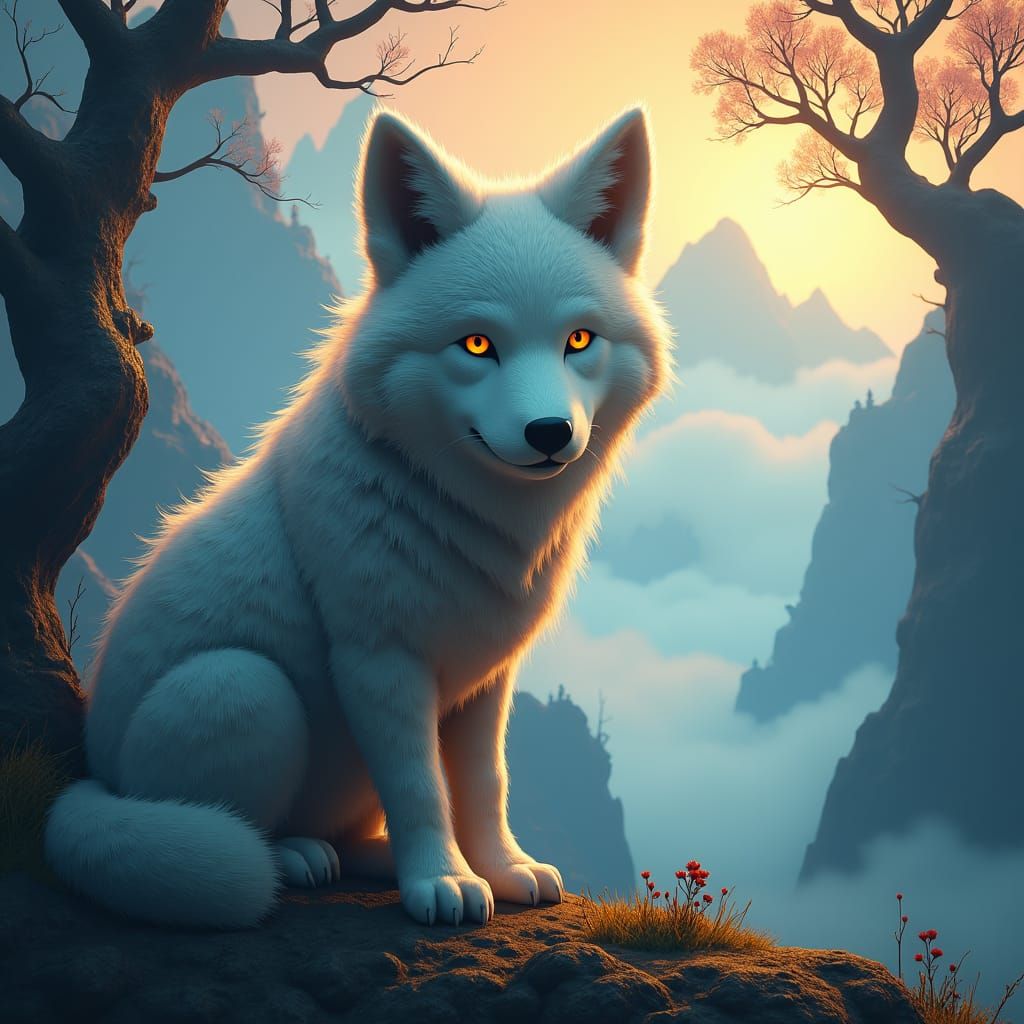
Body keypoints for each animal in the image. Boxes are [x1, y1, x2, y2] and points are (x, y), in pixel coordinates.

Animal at [45, 107, 672, 929]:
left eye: (578, 341)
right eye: (478, 344)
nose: (549, 434)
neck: (466, 521)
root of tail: (94, 776)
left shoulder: (486, 678)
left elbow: (484, 783)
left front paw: (503, 870)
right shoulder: (378, 660)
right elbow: (419, 787)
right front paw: (442, 883)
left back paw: (367, 859)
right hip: (244, 686)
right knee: (241, 822)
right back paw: (294, 859)